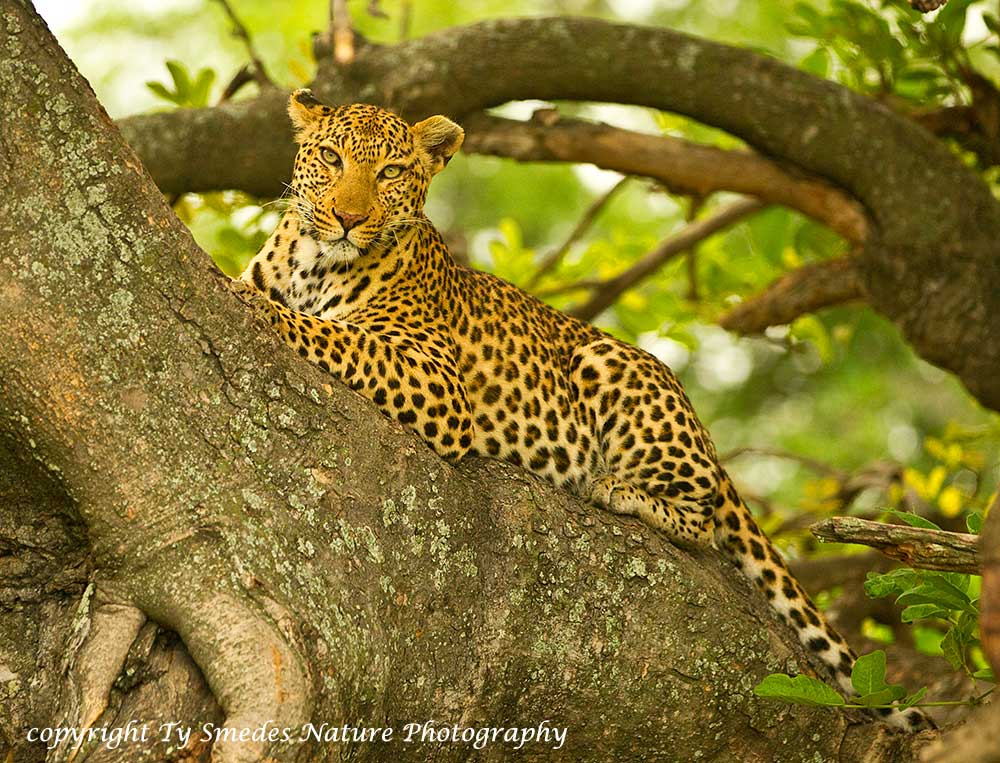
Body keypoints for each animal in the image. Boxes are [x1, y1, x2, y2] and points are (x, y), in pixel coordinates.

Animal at [233, 89, 932, 731]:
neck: (312, 263)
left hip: (610, 365)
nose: (348, 218)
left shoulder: (436, 380)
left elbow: (334, 334)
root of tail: (707, 437)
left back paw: (616, 488)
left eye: (392, 172)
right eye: (332, 157)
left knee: (703, 516)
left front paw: (256, 306)